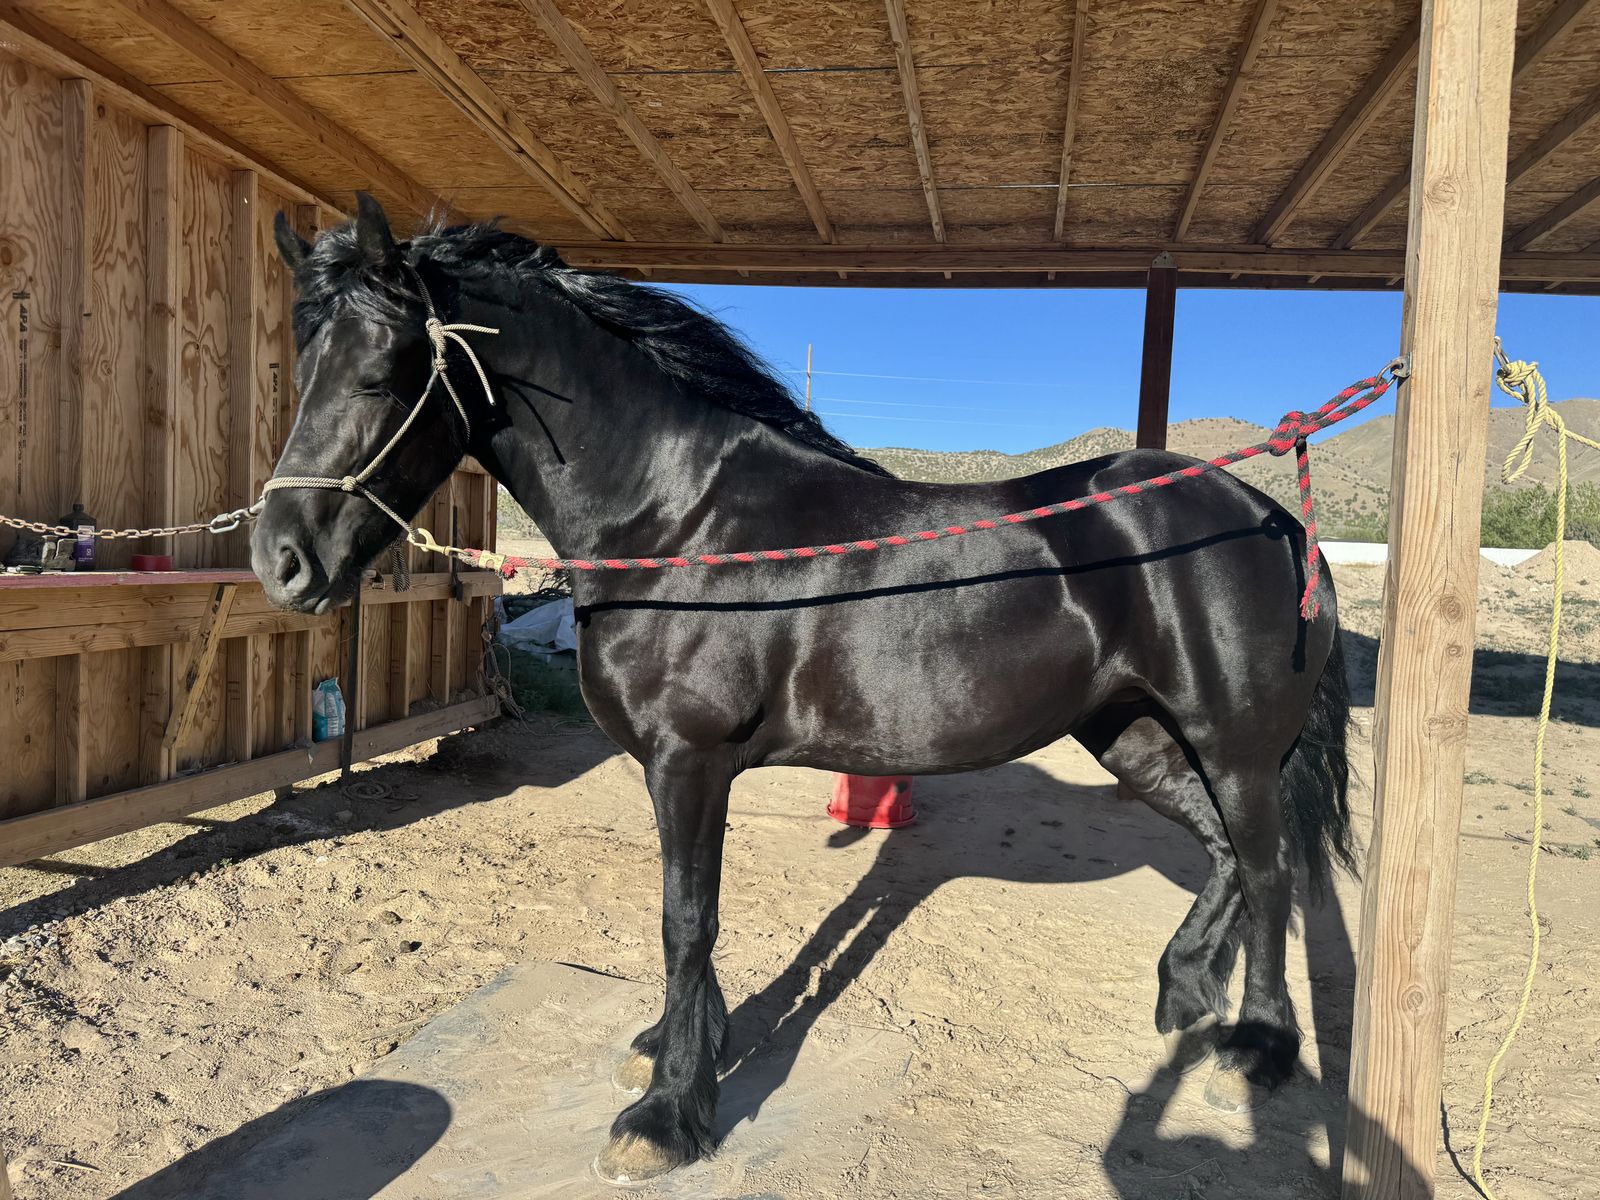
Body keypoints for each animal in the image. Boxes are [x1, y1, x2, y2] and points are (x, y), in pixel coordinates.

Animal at [254, 193, 1354, 1185]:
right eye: (303, 371)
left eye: (381, 371)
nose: (281, 561)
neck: (679, 521)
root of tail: (1269, 515)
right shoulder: (682, 771)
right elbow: (685, 918)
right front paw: (678, 1050)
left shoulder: (690, 762)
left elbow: (686, 921)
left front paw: (667, 1117)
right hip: (1135, 736)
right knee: (1224, 854)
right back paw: (1184, 998)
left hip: (1233, 747)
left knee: (1268, 872)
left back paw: (1252, 1053)